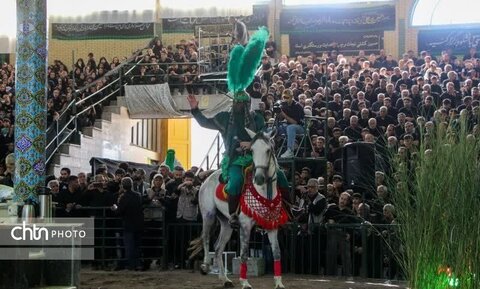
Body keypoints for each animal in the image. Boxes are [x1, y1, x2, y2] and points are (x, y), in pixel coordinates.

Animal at [192, 129, 288, 288]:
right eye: (252, 150)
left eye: (268, 150)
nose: (259, 178)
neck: (265, 191)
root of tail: (207, 178)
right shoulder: (245, 225)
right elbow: (243, 254)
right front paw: (245, 282)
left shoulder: (272, 226)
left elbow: (277, 252)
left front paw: (279, 283)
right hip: (208, 215)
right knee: (205, 238)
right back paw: (205, 265)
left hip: (226, 223)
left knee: (218, 248)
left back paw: (225, 279)